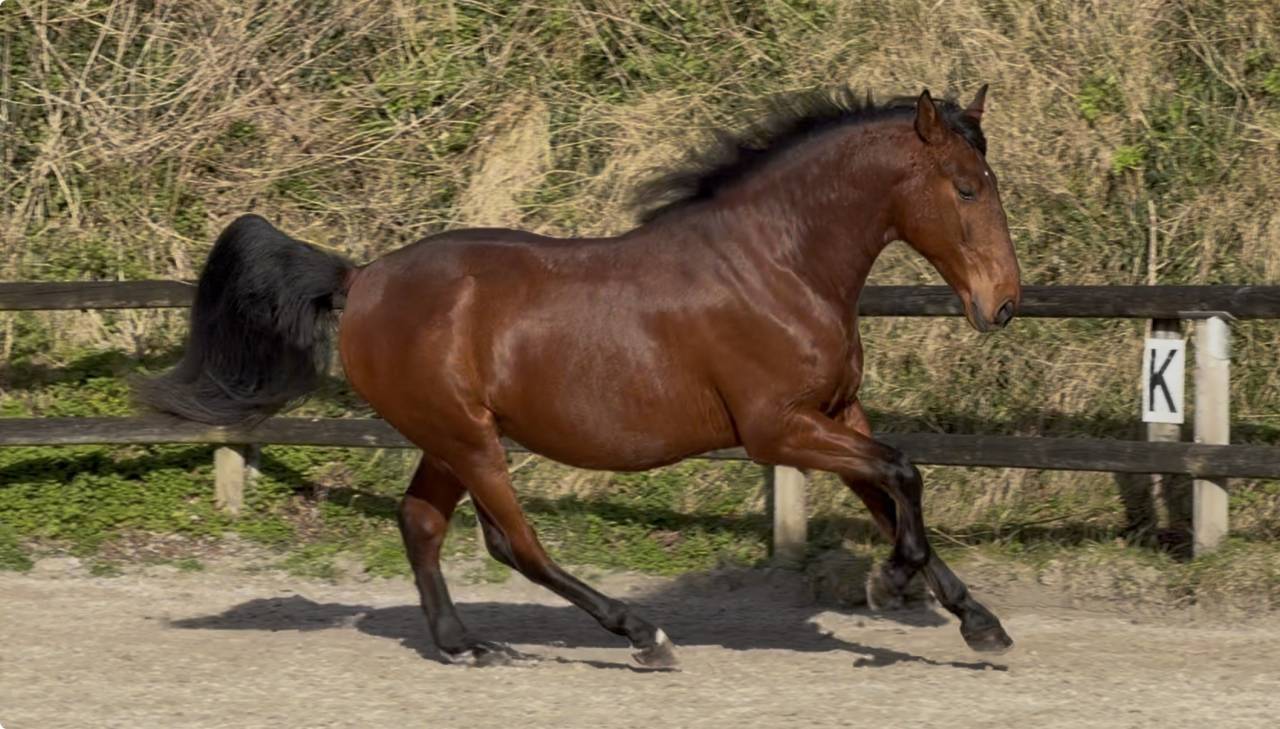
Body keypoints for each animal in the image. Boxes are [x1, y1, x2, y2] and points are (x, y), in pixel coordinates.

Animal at [136, 86, 1021, 669]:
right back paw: (640, 634)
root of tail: (361, 279)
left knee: (421, 522)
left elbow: (893, 490)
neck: (779, 264)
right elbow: (904, 476)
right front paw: (890, 583)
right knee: (513, 541)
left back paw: (464, 645)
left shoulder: (840, 412)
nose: (1004, 304)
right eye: (966, 188)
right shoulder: (779, 430)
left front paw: (976, 620)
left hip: (447, 438)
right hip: (470, 438)